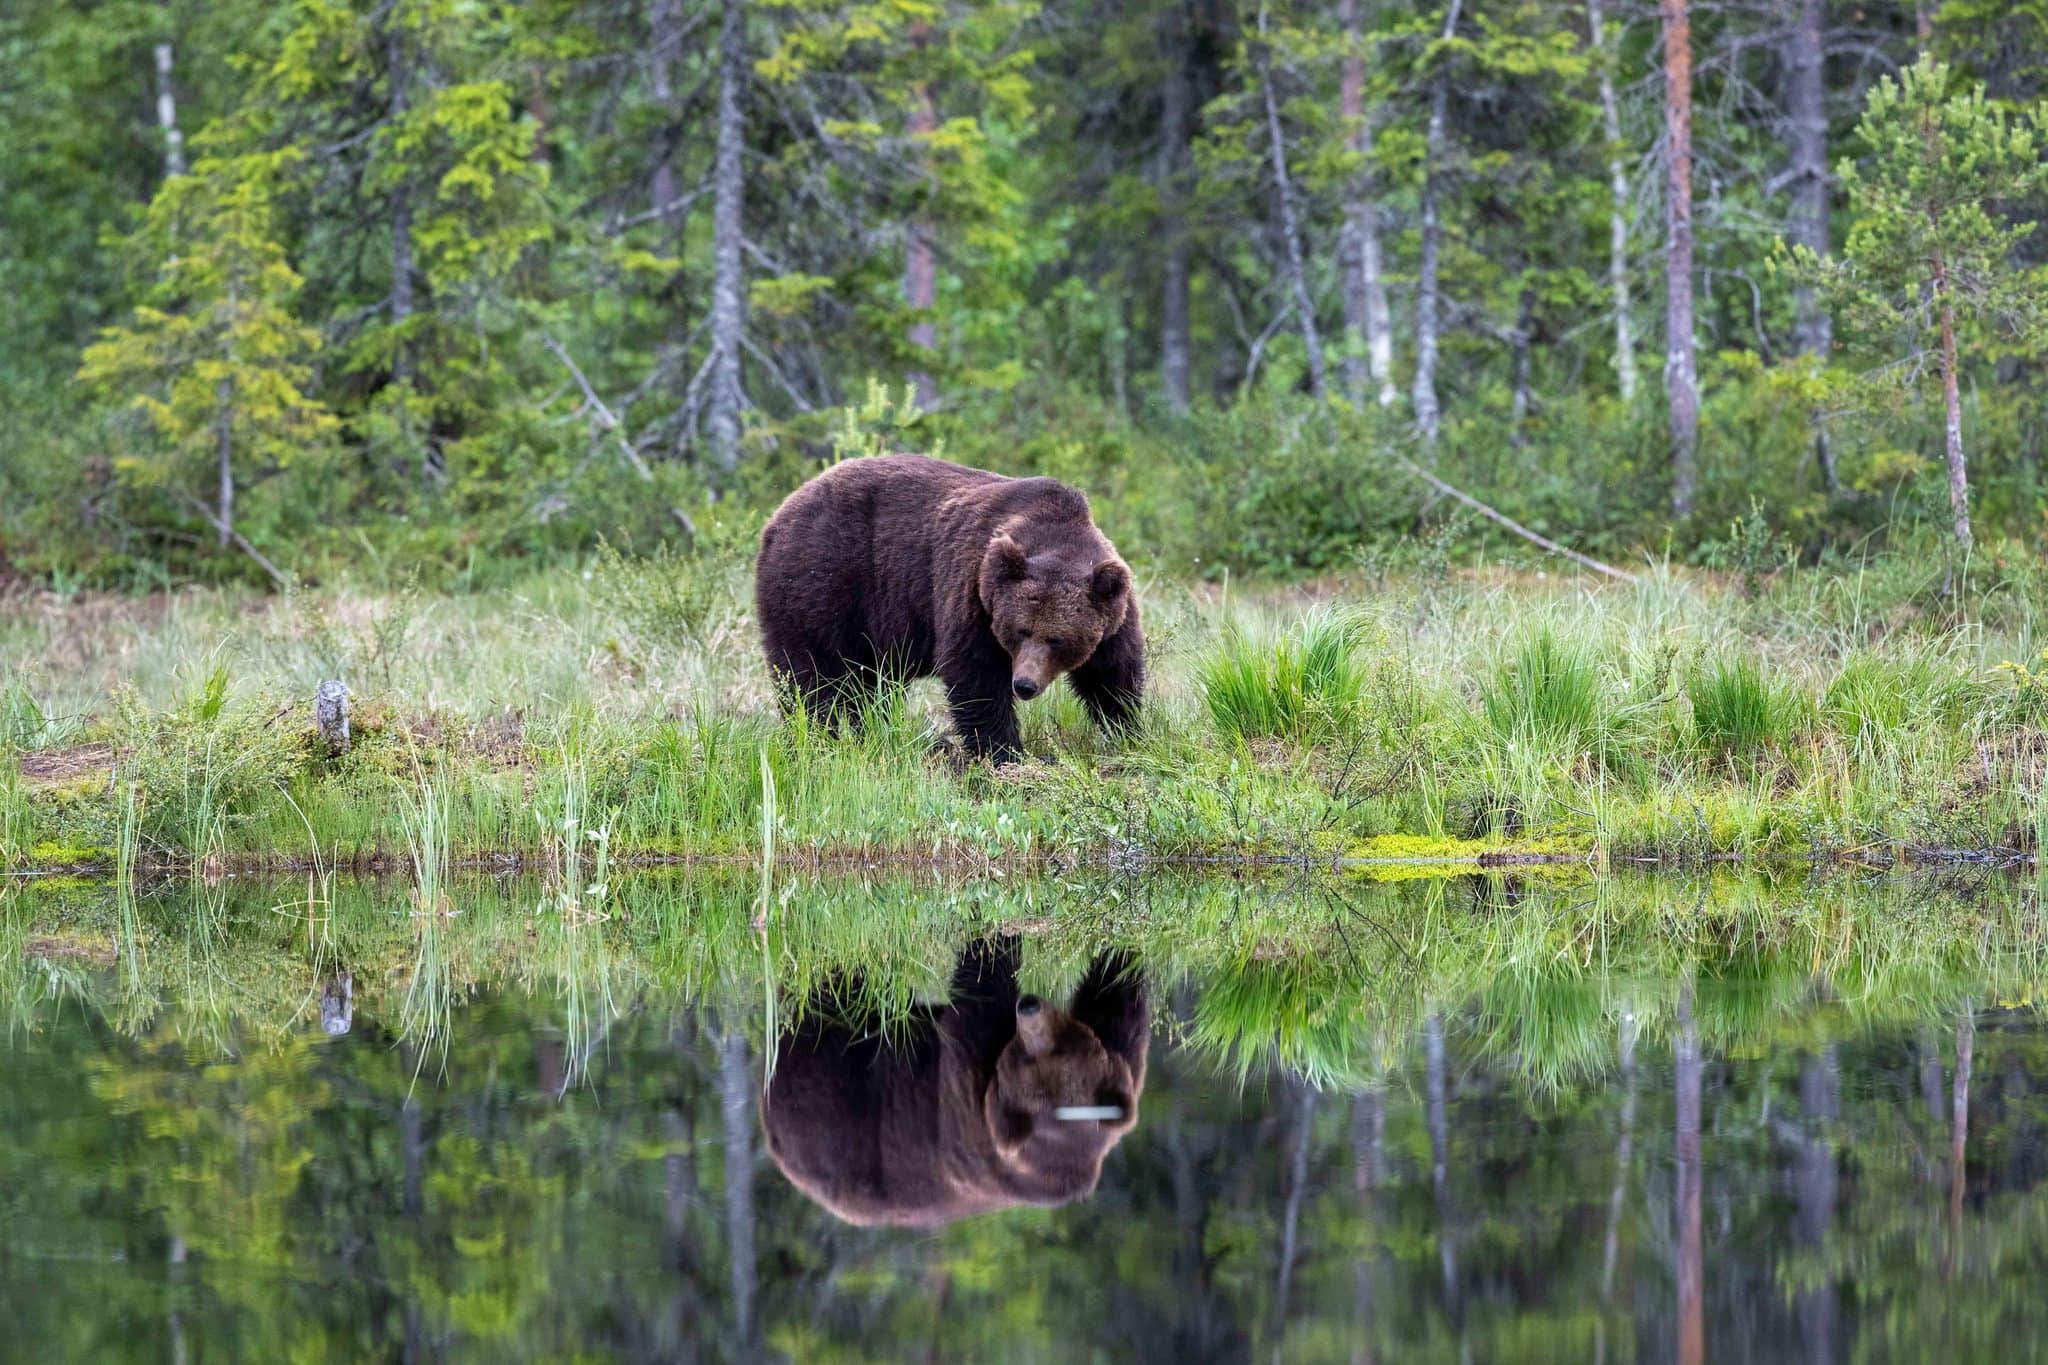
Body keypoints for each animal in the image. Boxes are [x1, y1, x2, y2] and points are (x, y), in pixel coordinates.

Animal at [753, 454, 1146, 765]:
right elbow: (976, 675)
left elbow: (1113, 676)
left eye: (1057, 639)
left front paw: (1129, 730)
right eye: (1020, 631)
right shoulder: (974, 594)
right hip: (823, 582)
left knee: (866, 684)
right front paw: (1004, 753)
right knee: (814, 677)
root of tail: (777, 515)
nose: (1024, 684)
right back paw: (818, 738)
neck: (1058, 533)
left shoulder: (1113, 613)